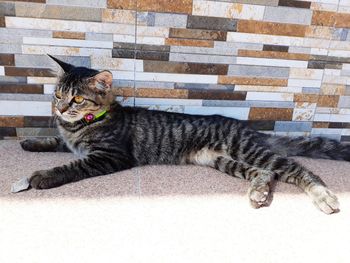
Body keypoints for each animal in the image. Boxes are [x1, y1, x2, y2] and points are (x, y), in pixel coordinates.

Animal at [20, 55, 348, 214]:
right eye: (58, 94)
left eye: (77, 99)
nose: (60, 108)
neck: (79, 125)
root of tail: (248, 128)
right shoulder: (71, 141)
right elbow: (56, 142)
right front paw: (31, 142)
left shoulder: (109, 156)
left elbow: (72, 165)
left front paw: (42, 176)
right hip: (222, 161)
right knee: (267, 174)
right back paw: (258, 192)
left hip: (247, 150)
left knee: (297, 170)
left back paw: (324, 197)